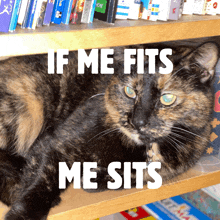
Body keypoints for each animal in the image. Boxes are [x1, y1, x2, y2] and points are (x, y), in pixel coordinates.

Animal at [0, 41, 218, 220]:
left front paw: (94, 178)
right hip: (29, 107)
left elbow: (130, 177)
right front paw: (24, 214)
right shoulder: (57, 144)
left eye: (167, 98)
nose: (138, 122)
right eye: (129, 92)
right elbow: (41, 185)